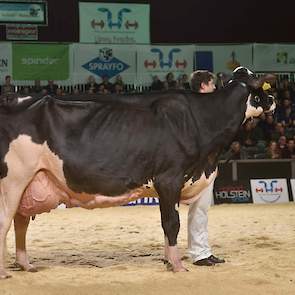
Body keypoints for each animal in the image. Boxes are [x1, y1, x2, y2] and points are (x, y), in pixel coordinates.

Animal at [0, 66, 276, 278]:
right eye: (260, 89)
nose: (273, 101)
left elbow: (167, 224)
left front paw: (168, 260)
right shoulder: (169, 178)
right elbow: (172, 223)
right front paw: (177, 266)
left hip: (30, 181)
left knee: (20, 221)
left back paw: (26, 264)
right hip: (13, 179)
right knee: (6, 221)